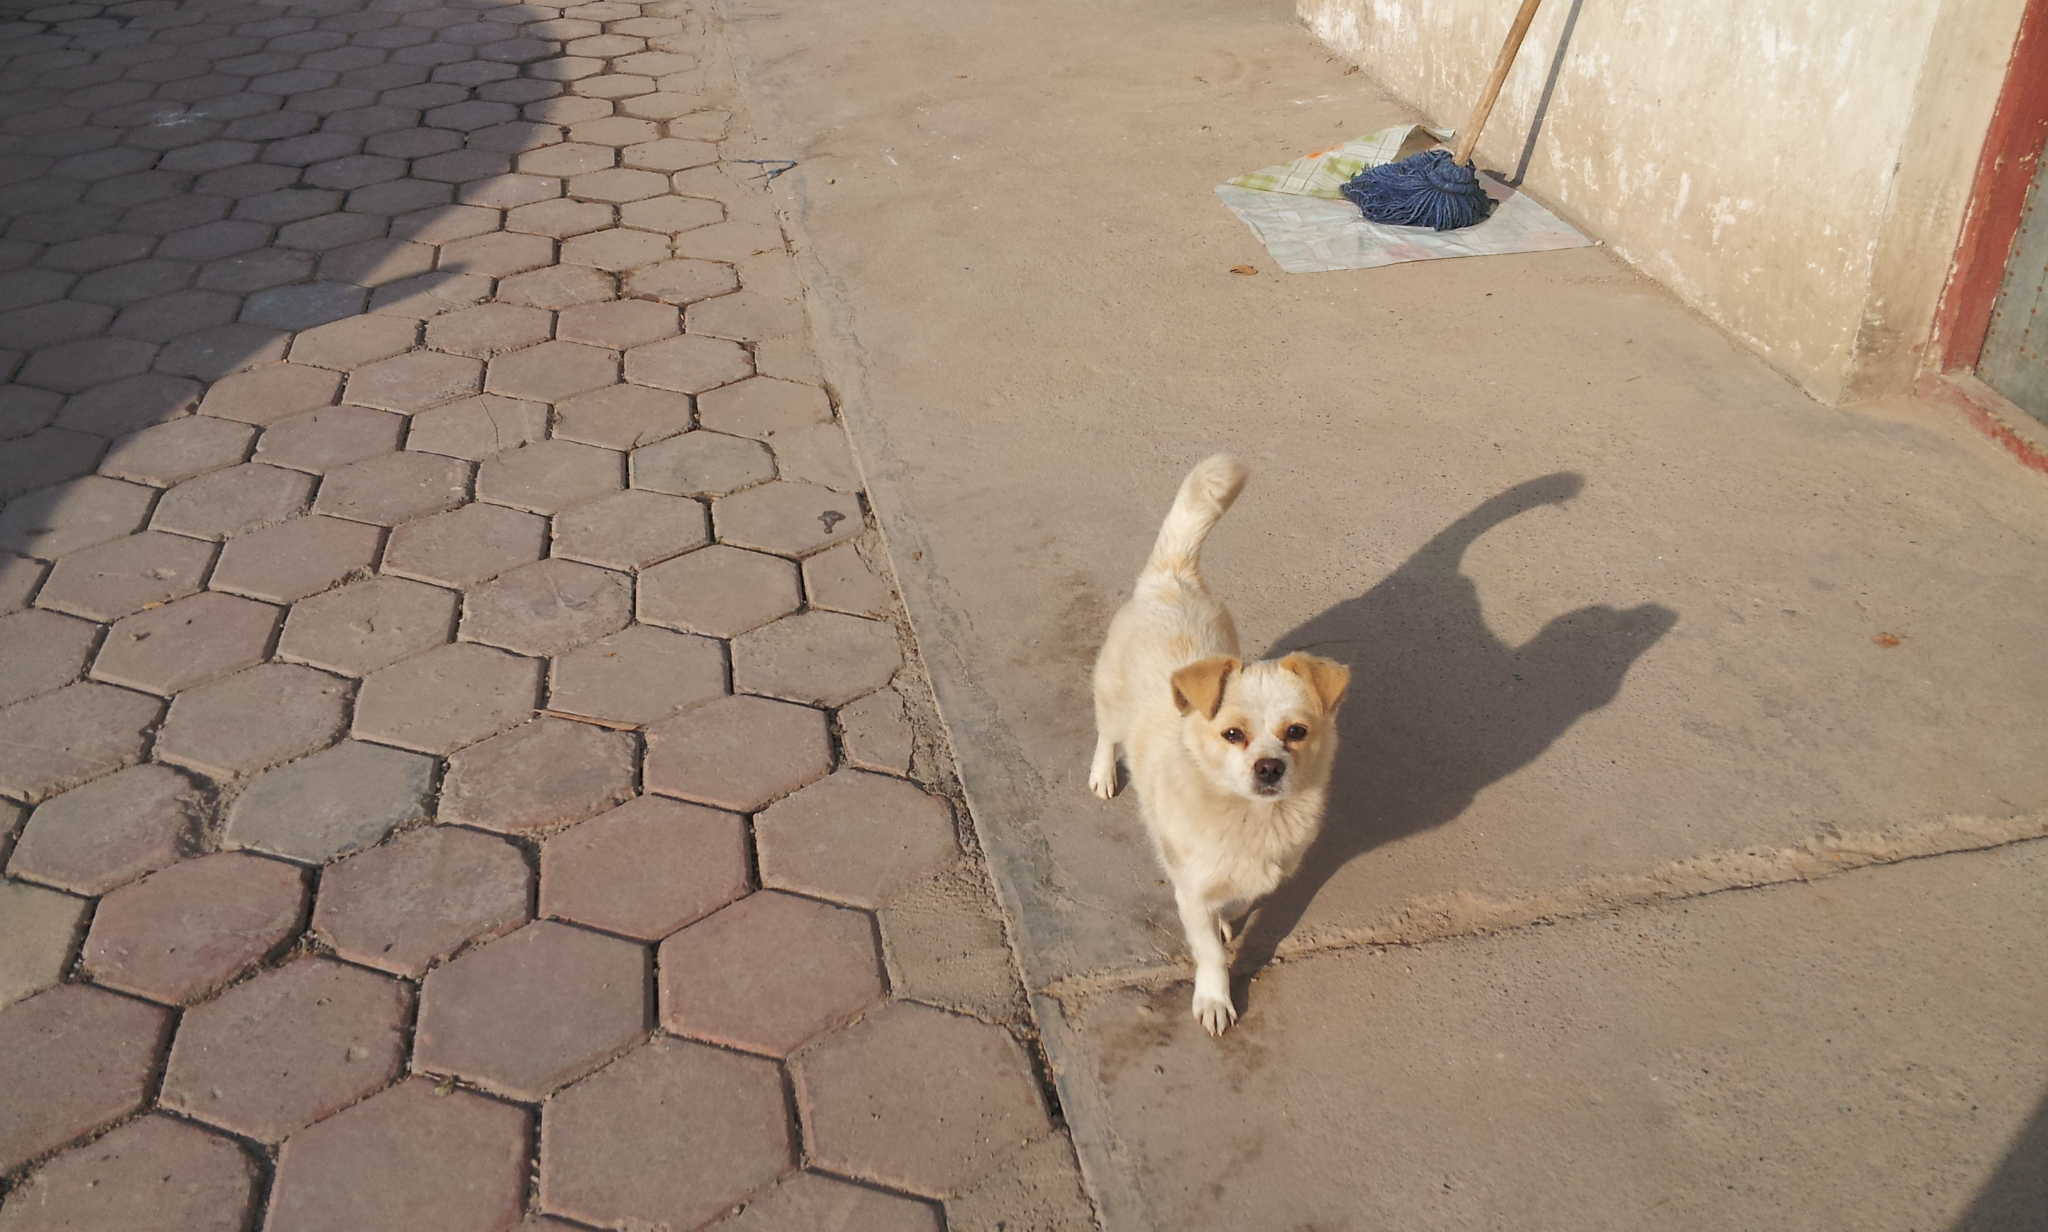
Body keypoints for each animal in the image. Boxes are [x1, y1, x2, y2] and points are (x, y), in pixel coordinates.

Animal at [1089, 454, 1350, 1036]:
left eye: (1297, 731)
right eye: (1233, 734)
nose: (1269, 767)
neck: (1252, 817)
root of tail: (1170, 578)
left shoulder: (1251, 876)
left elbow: (1233, 904)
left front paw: (1230, 921)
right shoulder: (1189, 886)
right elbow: (1207, 949)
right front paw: (1213, 997)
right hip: (1111, 702)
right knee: (1105, 733)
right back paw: (1103, 772)